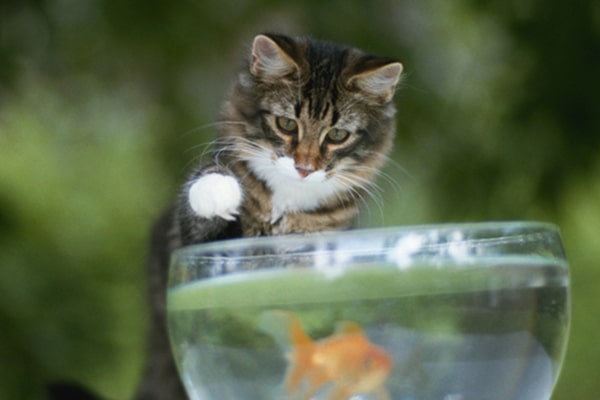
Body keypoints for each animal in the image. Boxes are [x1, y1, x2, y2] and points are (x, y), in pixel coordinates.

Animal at [135, 32, 404, 398]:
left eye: (337, 135)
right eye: (286, 123)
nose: (304, 168)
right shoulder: (193, 246)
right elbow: (207, 189)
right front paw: (217, 190)